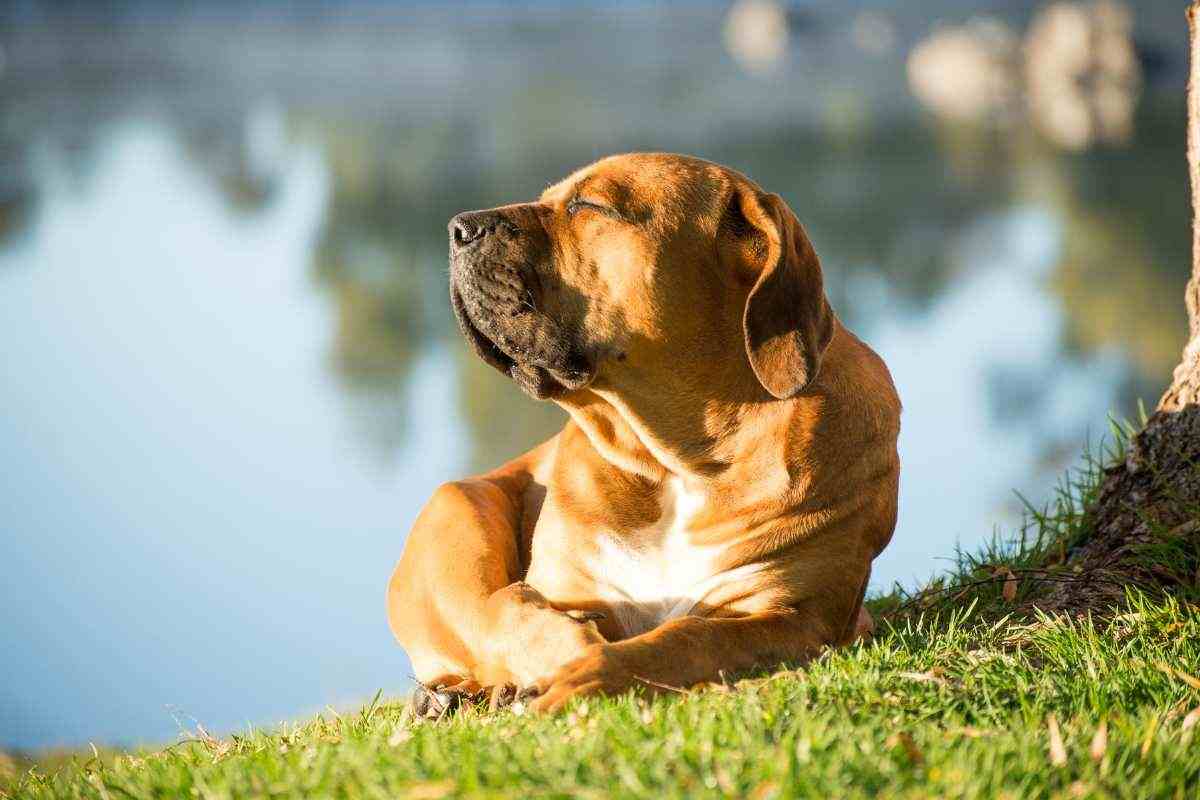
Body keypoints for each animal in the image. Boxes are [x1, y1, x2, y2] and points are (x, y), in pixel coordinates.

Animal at [386, 151, 902, 714]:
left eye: (589, 205)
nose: (459, 227)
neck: (674, 463)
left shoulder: (792, 614)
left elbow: (685, 639)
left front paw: (588, 672)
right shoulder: (564, 587)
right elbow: (513, 612)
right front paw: (564, 653)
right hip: (458, 508)